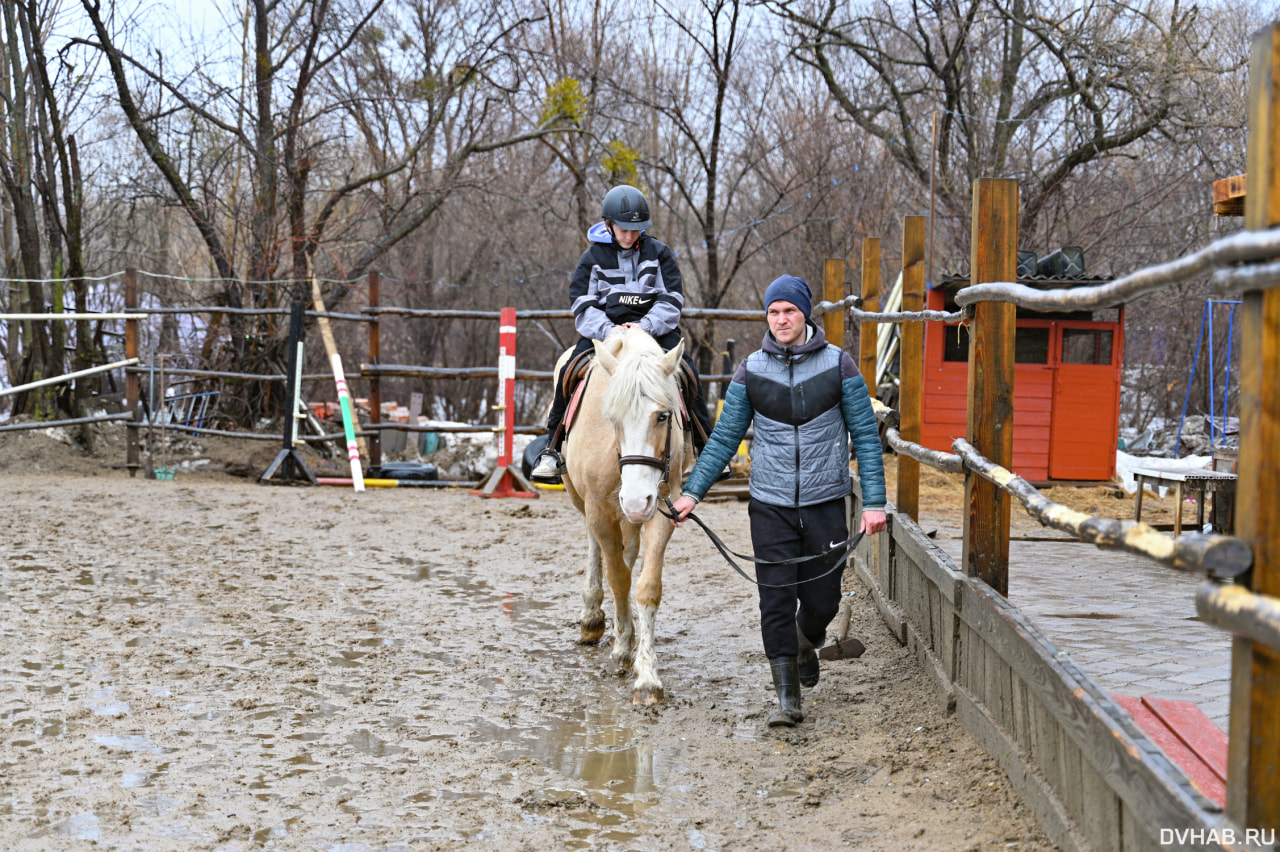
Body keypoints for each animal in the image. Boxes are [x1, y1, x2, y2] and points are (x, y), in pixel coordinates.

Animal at [560, 324, 691, 701]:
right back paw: (593, 619)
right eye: (612, 419)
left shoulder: (663, 508)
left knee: (627, 554)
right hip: (585, 502)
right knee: (599, 552)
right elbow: (618, 578)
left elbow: (646, 586)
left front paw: (646, 676)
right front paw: (621, 651)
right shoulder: (599, 511)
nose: (634, 500)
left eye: (662, 415)